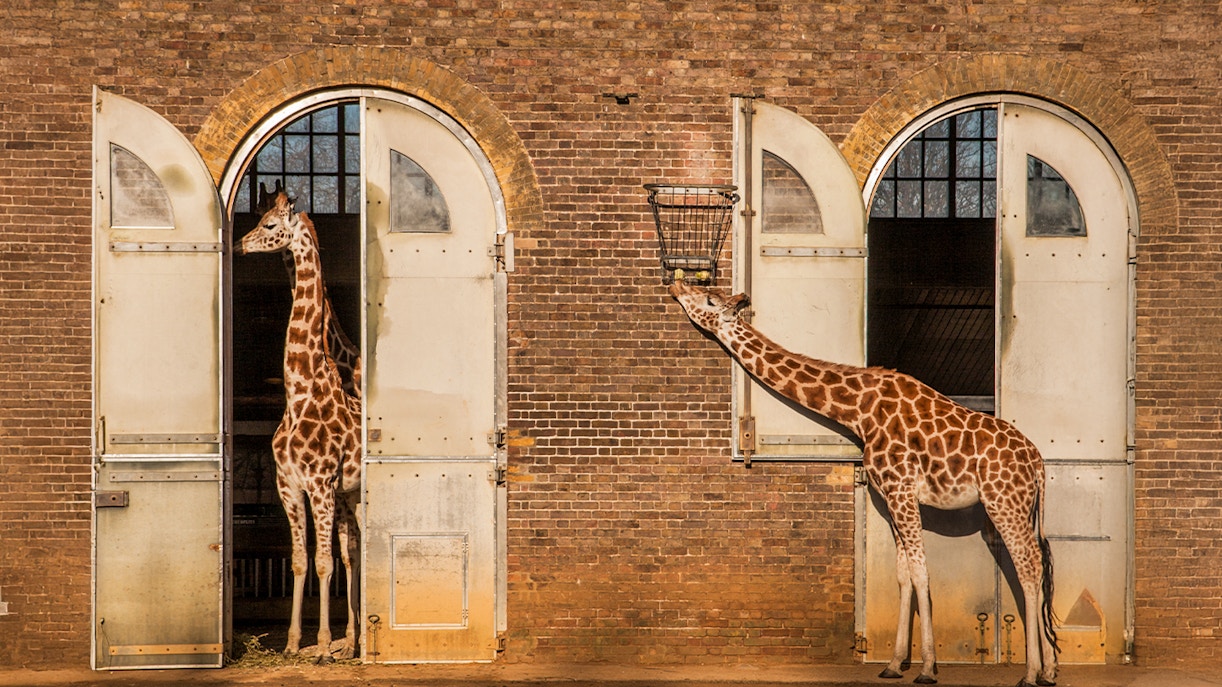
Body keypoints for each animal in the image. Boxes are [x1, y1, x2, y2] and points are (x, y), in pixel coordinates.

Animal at [236, 192, 362, 661]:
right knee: (352, 551)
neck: (301, 392)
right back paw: (353, 640)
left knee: (350, 553)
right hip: (349, 496)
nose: (240, 244)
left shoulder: (321, 484)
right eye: (259, 217)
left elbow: (324, 562)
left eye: (271, 225)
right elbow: (300, 560)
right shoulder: (288, 484)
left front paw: (322, 645)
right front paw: (293, 643)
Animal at [669, 281, 1058, 687]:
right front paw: (894, 664)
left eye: (709, 299)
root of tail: (1037, 462)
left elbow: (921, 572)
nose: (676, 285)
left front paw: (927, 668)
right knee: (1039, 565)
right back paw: (1049, 670)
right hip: (1020, 507)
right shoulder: (888, 496)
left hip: (1003, 502)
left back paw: (1031, 672)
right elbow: (903, 577)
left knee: (1029, 565)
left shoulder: (901, 488)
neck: (858, 410)